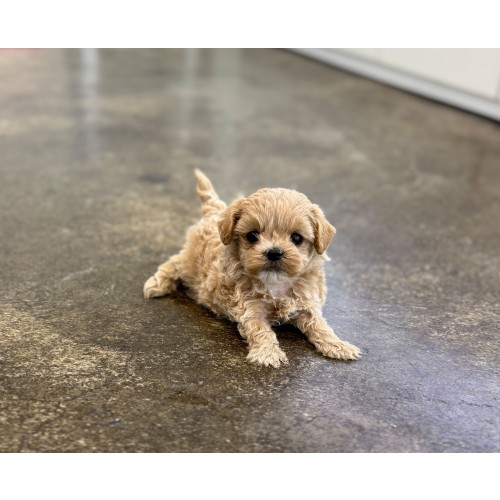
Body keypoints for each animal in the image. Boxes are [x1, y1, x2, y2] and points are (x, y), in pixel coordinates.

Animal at [144, 170, 360, 367]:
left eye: (297, 238)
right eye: (252, 235)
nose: (274, 252)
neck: (276, 284)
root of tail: (214, 212)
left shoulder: (307, 306)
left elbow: (321, 326)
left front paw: (338, 345)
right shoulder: (250, 308)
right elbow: (260, 330)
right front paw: (268, 353)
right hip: (188, 263)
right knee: (173, 263)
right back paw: (157, 283)